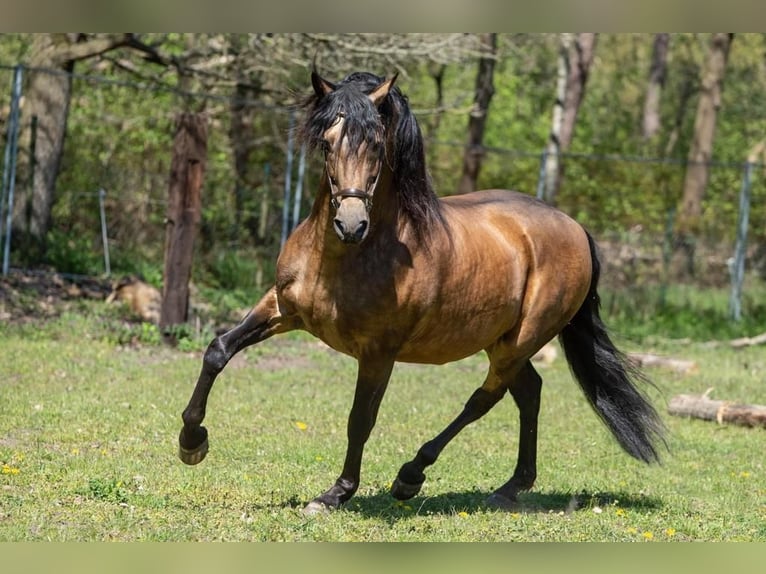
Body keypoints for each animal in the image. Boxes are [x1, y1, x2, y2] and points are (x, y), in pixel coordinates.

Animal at [176, 70, 664, 516]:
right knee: (529, 392)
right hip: (501, 340)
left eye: (376, 144)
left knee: (485, 397)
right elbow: (218, 351)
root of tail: (575, 228)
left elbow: (361, 419)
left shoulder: (379, 351)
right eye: (327, 143)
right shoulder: (281, 308)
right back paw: (510, 487)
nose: (350, 224)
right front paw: (191, 442)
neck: (346, 257)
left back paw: (412, 475)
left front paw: (335, 494)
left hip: (521, 340)